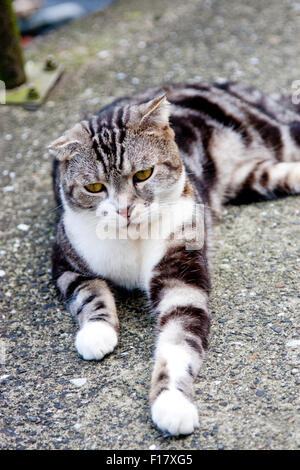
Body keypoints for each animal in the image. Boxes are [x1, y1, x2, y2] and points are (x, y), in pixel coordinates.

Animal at [48, 81, 300, 436]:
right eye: (94, 187)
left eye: (144, 174)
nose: (124, 210)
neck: (132, 240)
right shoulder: (65, 261)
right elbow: (88, 292)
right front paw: (97, 332)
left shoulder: (180, 274)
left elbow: (178, 343)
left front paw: (172, 402)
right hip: (254, 179)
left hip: (274, 134)